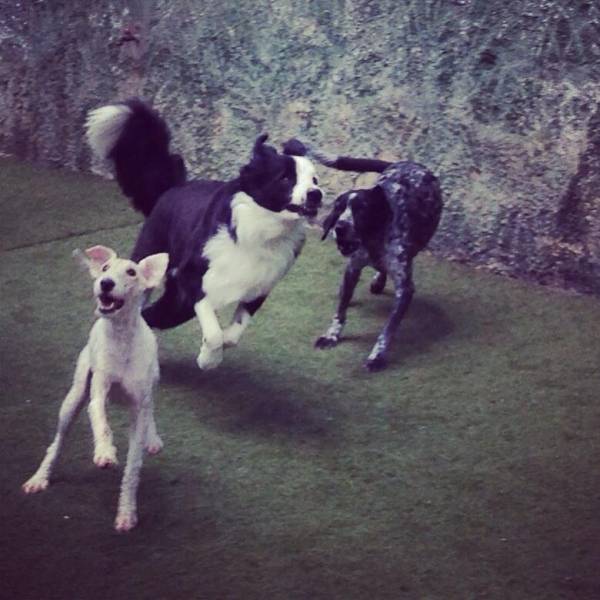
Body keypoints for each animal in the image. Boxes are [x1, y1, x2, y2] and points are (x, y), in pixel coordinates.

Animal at [22, 246, 169, 532]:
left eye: (132, 272)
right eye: (105, 268)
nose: (106, 283)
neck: (121, 338)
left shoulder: (139, 405)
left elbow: (133, 467)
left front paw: (126, 512)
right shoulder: (98, 392)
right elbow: (101, 422)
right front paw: (104, 453)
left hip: (152, 382)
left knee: (151, 408)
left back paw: (153, 437)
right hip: (73, 400)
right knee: (56, 444)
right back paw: (40, 477)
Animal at [85, 99, 324, 370]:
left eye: (315, 179)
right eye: (285, 178)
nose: (316, 194)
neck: (262, 226)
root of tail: (174, 187)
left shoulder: (260, 286)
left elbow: (233, 333)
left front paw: (217, 350)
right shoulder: (191, 276)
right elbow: (213, 330)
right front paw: (208, 360)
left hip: (177, 305)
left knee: (150, 316)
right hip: (152, 263)